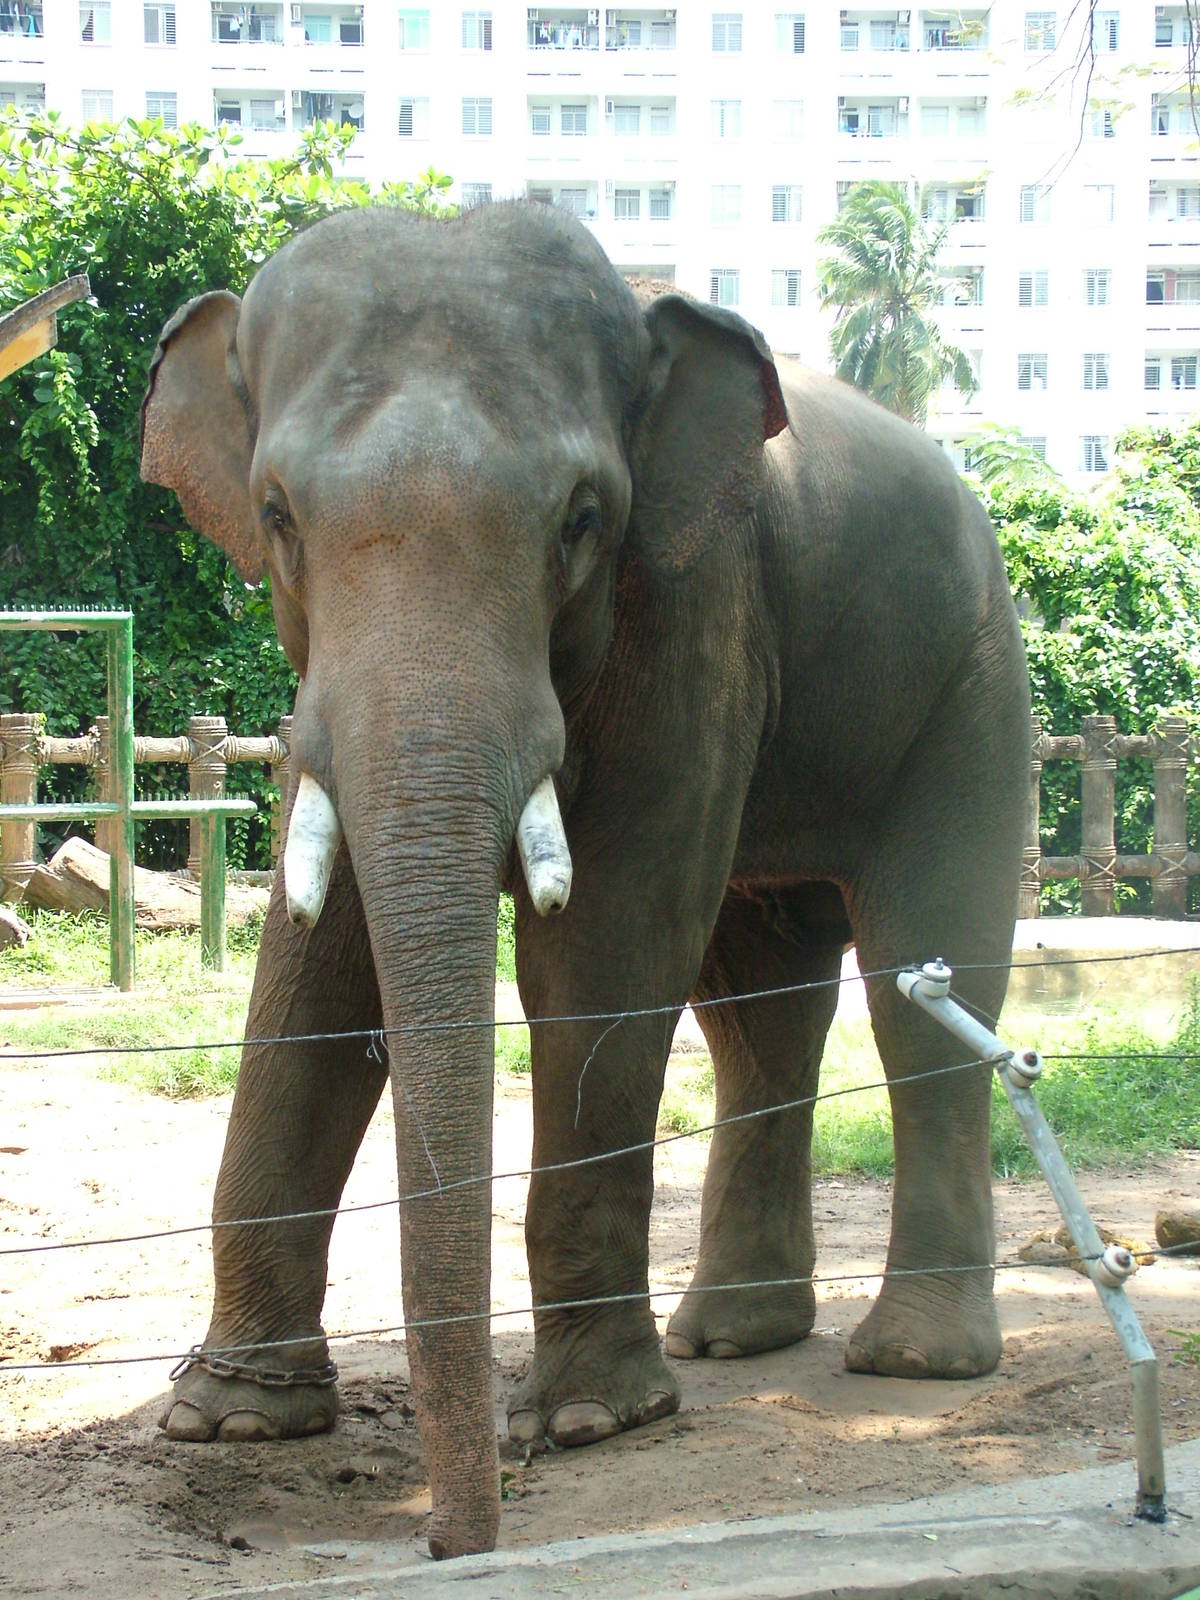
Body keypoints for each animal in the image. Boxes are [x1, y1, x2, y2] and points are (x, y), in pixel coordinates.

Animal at [139, 200, 1029, 1561]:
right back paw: (733, 1338)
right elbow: (312, 967)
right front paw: (231, 1421)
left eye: (582, 518)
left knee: (921, 979)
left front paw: (589, 1423)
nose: (453, 1541)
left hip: (972, 683)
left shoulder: (697, 603)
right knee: (760, 1009)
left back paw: (913, 1362)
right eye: (277, 513)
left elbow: (605, 945)